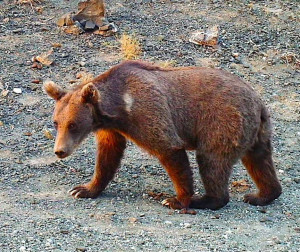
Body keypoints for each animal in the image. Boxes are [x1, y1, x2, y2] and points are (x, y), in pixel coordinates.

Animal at [44, 60, 282, 210]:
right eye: (56, 123)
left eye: (73, 124)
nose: (59, 151)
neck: (119, 107)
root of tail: (258, 101)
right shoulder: (111, 128)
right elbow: (107, 156)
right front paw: (83, 189)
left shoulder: (146, 112)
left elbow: (169, 148)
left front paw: (176, 200)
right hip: (257, 131)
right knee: (259, 161)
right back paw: (261, 195)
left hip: (222, 121)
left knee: (212, 160)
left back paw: (206, 200)